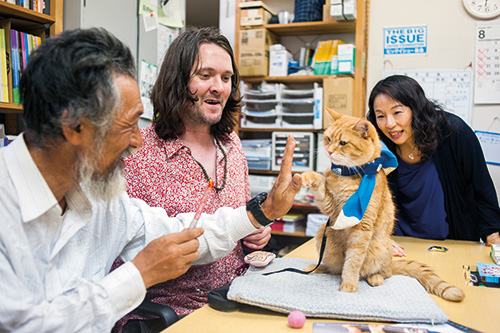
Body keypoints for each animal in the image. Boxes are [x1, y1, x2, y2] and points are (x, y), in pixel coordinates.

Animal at [302, 108, 466, 300]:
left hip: (378, 247)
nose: (328, 151)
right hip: (324, 232)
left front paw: (348, 285)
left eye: (343, 143)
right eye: (328, 139)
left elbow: (353, 262)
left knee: (382, 272)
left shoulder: (361, 227)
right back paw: (316, 268)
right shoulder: (331, 208)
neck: (347, 175)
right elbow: (320, 186)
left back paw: (375, 278)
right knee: (334, 268)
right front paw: (307, 176)